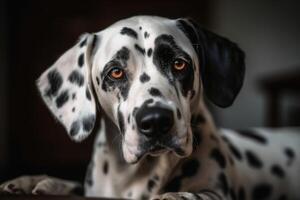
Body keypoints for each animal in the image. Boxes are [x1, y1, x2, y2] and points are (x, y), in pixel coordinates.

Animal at [0, 16, 300, 200]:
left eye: (179, 63)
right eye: (116, 72)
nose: (155, 121)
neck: (136, 177)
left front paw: (178, 195)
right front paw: (33, 182)